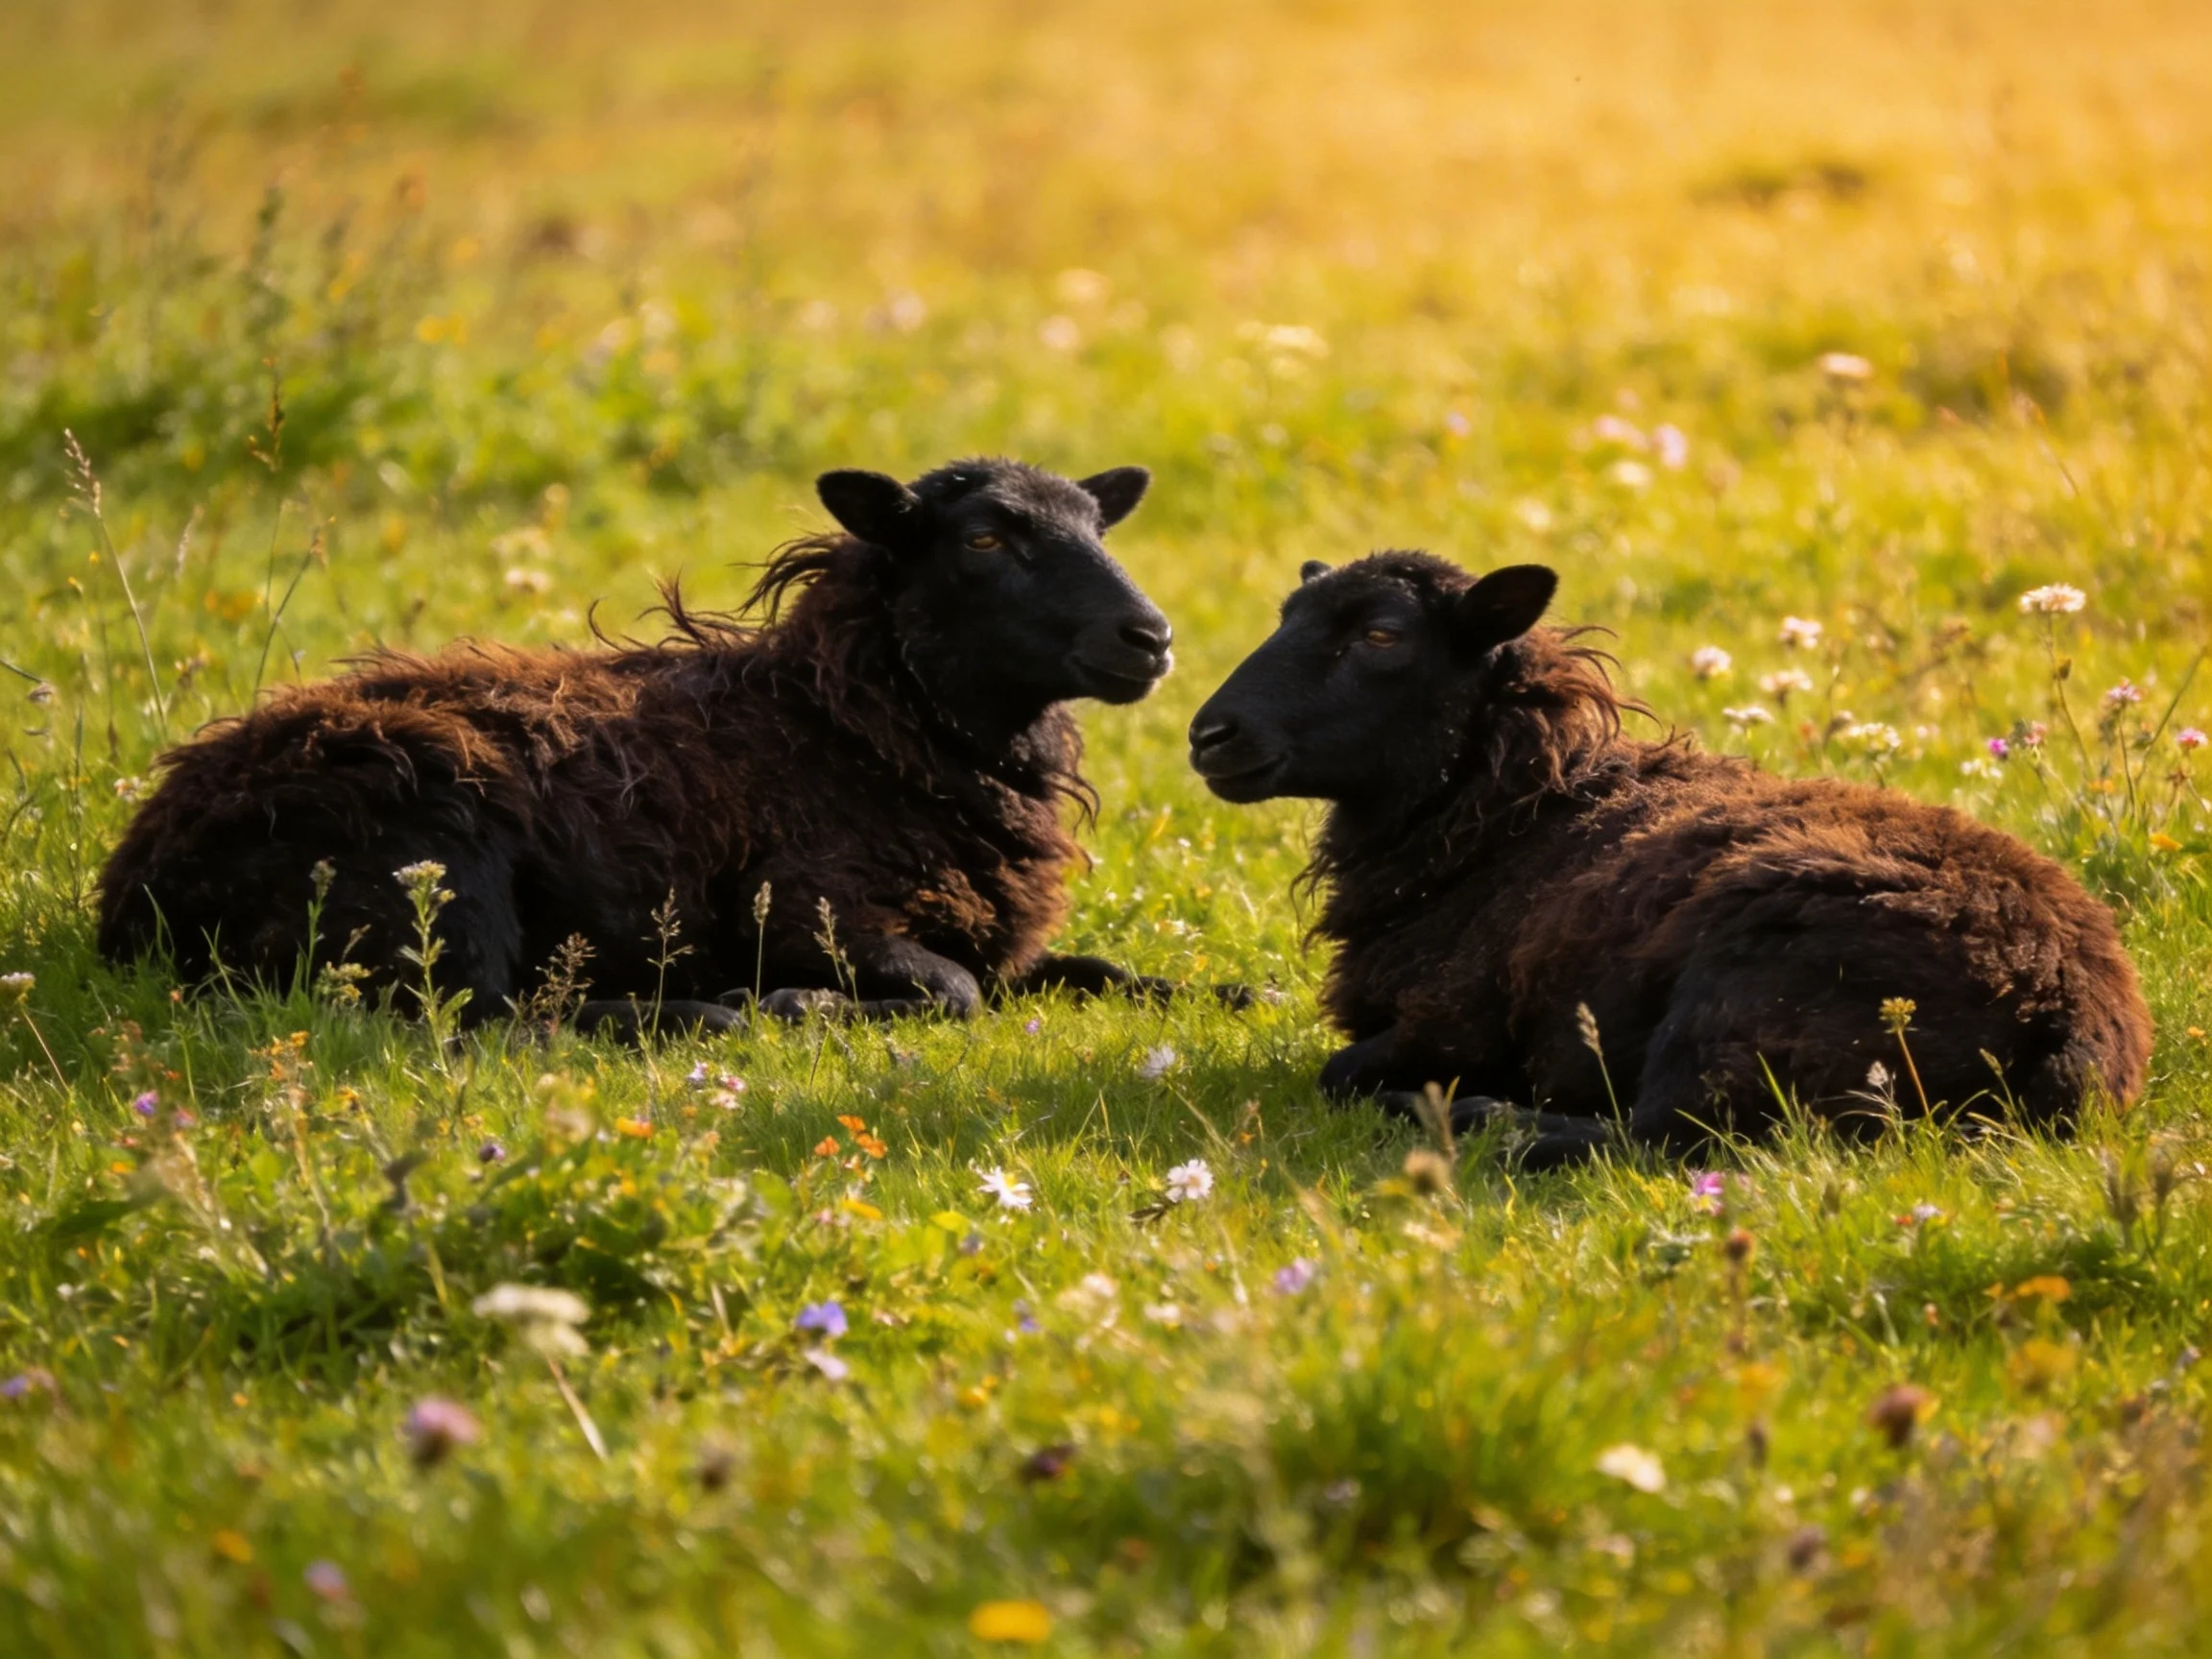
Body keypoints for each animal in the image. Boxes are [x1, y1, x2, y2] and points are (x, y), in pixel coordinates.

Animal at [98, 457, 1189, 1036]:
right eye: (984, 540)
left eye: (1097, 526)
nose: (1151, 636)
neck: (856, 725)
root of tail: (136, 884)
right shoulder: (813, 913)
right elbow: (954, 994)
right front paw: (804, 1002)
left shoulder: (1002, 943)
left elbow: (1102, 971)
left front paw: (1211, 988)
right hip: (432, 859)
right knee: (481, 1018)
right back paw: (719, 1012)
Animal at [1188, 551, 2152, 1165]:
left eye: (1382, 637)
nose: (1208, 734)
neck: (1509, 810)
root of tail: (2073, 1019)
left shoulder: (1451, 1024)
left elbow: (1339, 1069)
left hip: (1740, 995)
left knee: (1664, 1140)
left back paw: (1482, 1118)